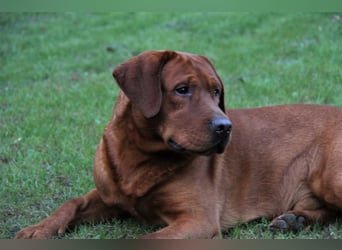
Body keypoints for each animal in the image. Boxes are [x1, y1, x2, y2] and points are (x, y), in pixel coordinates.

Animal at [16, 50, 342, 238]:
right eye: (182, 90)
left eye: (216, 91)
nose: (225, 127)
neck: (139, 156)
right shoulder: (107, 195)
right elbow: (71, 202)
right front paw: (38, 229)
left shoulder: (198, 220)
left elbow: (146, 240)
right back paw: (295, 219)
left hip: (330, 179)